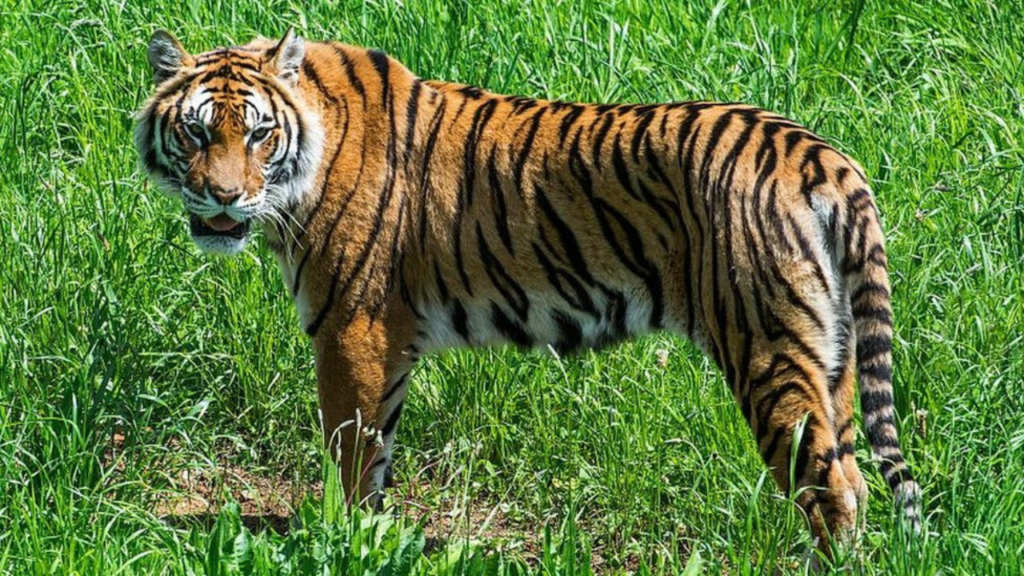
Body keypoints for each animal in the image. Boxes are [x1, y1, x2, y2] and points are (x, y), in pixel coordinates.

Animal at [134, 28, 921, 555]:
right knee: (851, 471)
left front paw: (343, 541)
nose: (223, 199)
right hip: (831, 354)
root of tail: (817, 152)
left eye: (258, 135)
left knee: (833, 490)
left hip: (767, 346)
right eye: (197, 133)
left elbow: (351, 452)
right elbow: (379, 449)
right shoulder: (389, 342)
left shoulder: (351, 328)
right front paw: (375, 537)